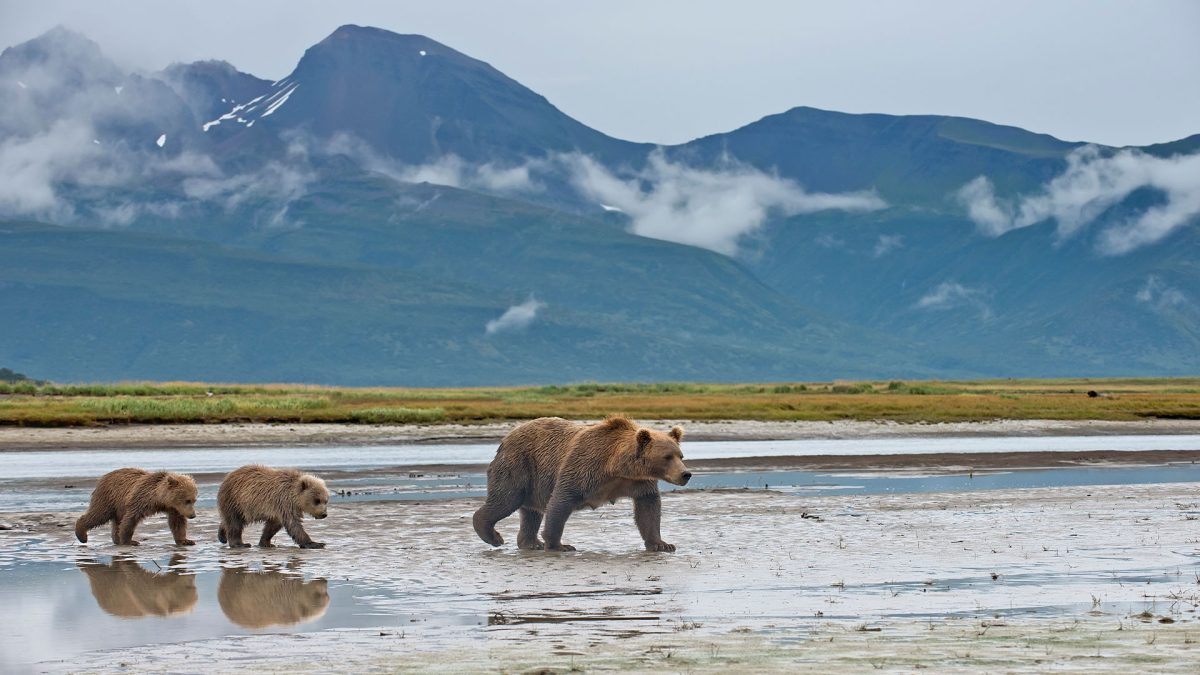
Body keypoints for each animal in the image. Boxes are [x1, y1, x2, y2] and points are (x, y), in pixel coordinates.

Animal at [470, 415, 691, 552]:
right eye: (667, 457)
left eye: (680, 455)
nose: (686, 474)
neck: (618, 468)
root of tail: (506, 439)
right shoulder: (585, 467)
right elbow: (561, 500)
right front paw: (560, 545)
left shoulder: (639, 483)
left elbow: (648, 509)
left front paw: (662, 544)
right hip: (519, 465)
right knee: (506, 500)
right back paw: (493, 536)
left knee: (531, 513)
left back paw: (531, 543)